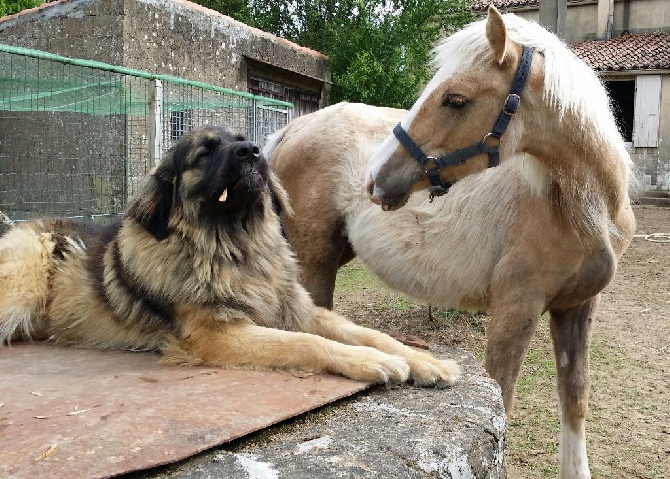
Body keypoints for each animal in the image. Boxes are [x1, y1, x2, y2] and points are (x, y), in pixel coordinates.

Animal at [0, 125, 460, 388]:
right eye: (205, 152)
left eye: (243, 143)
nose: (253, 151)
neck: (235, 246)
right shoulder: (221, 334)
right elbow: (306, 343)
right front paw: (372, 362)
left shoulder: (299, 310)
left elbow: (367, 332)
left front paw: (423, 360)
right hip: (21, 285)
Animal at [266, 5, 636, 478]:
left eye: (455, 100)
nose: (375, 177)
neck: (583, 210)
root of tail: (292, 129)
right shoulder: (516, 306)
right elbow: (502, 402)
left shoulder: (578, 307)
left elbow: (575, 398)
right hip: (313, 263)